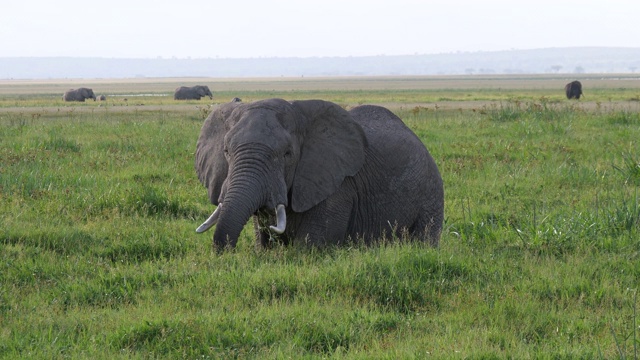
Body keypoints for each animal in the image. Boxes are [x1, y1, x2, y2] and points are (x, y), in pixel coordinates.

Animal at [194, 98, 444, 250]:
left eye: (287, 154)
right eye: (226, 151)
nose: (225, 255)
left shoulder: (338, 187)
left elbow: (309, 248)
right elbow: (263, 241)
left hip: (430, 192)